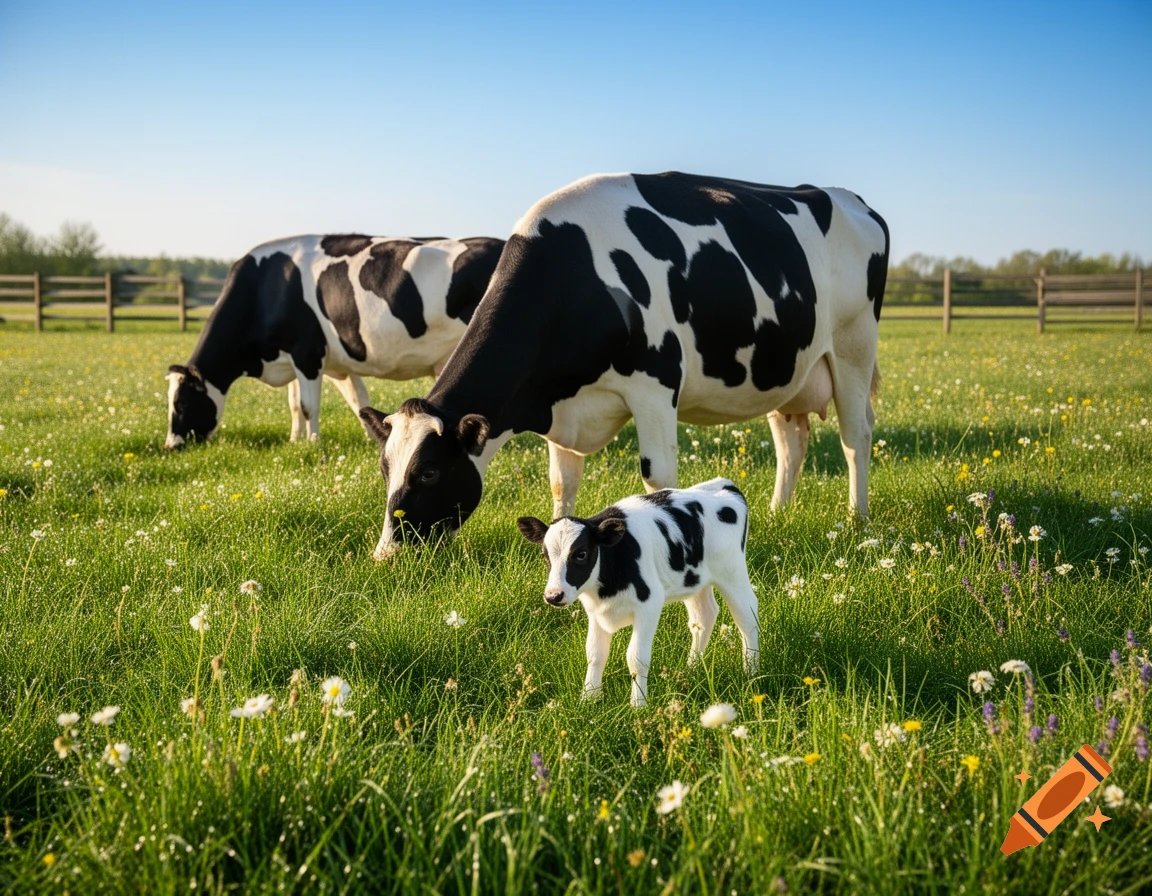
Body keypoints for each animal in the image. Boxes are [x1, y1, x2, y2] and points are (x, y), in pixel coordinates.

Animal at [164, 234, 504, 448]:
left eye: (181, 403)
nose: (170, 446)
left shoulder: (307, 352)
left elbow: (307, 406)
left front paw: (313, 444)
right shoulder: (302, 359)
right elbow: (326, 402)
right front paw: (295, 440)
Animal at [359, 171, 889, 559]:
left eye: (429, 472)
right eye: (384, 468)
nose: (386, 555)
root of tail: (848, 198)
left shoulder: (655, 386)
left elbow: (659, 478)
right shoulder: (559, 407)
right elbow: (562, 481)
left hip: (853, 347)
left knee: (856, 435)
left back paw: (857, 519)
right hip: (785, 367)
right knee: (791, 440)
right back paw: (779, 513)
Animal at [517, 478, 758, 707]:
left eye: (581, 554)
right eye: (545, 554)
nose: (553, 595)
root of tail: (723, 484)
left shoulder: (649, 604)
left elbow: (636, 657)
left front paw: (638, 705)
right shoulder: (595, 612)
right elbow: (594, 654)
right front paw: (588, 699)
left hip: (732, 571)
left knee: (747, 617)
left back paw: (751, 672)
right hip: (694, 580)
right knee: (704, 617)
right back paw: (691, 669)